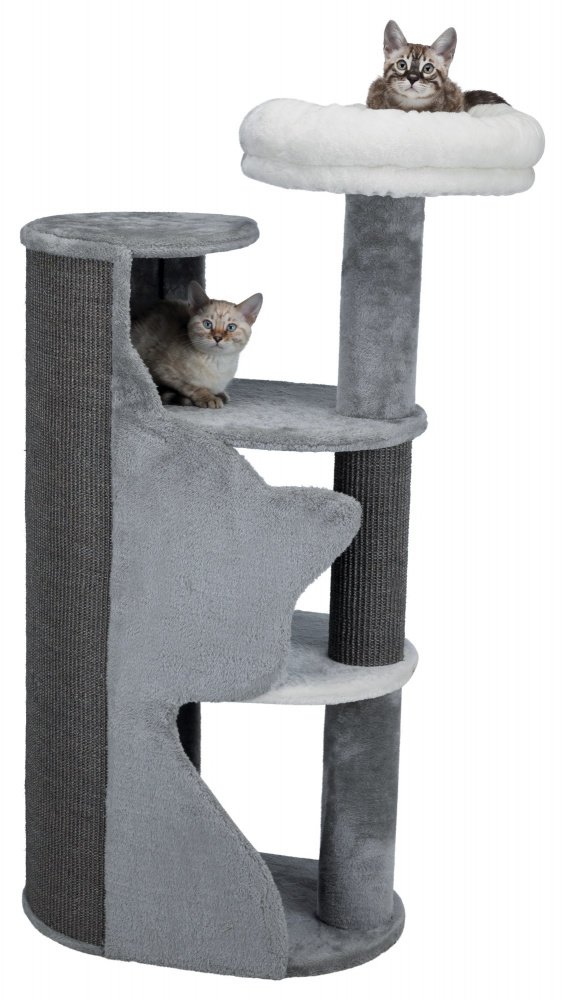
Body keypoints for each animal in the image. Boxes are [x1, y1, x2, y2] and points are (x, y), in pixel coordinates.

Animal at [131, 280, 263, 408]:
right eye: (207, 324)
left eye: (231, 327)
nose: (217, 338)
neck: (218, 363)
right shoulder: (162, 370)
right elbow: (193, 387)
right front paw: (209, 398)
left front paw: (220, 394)